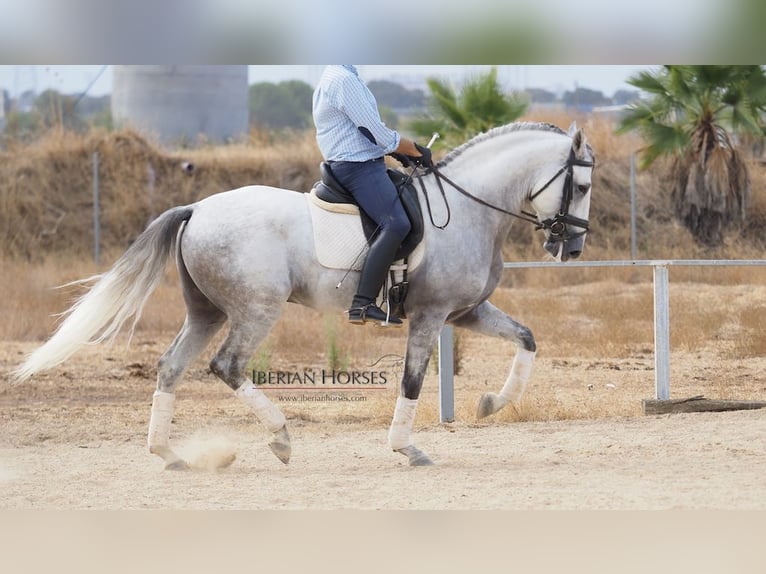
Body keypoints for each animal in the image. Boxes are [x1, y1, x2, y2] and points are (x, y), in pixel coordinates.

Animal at [15, 120, 596, 468]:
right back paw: (279, 437)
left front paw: (492, 403)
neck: (469, 209)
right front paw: (407, 447)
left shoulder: (467, 312)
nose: (570, 247)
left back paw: (169, 453)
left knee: (170, 367)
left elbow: (526, 339)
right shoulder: (430, 316)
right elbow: (411, 382)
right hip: (256, 310)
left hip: (205, 312)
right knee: (226, 366)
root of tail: (197, 209)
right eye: (584, 186)